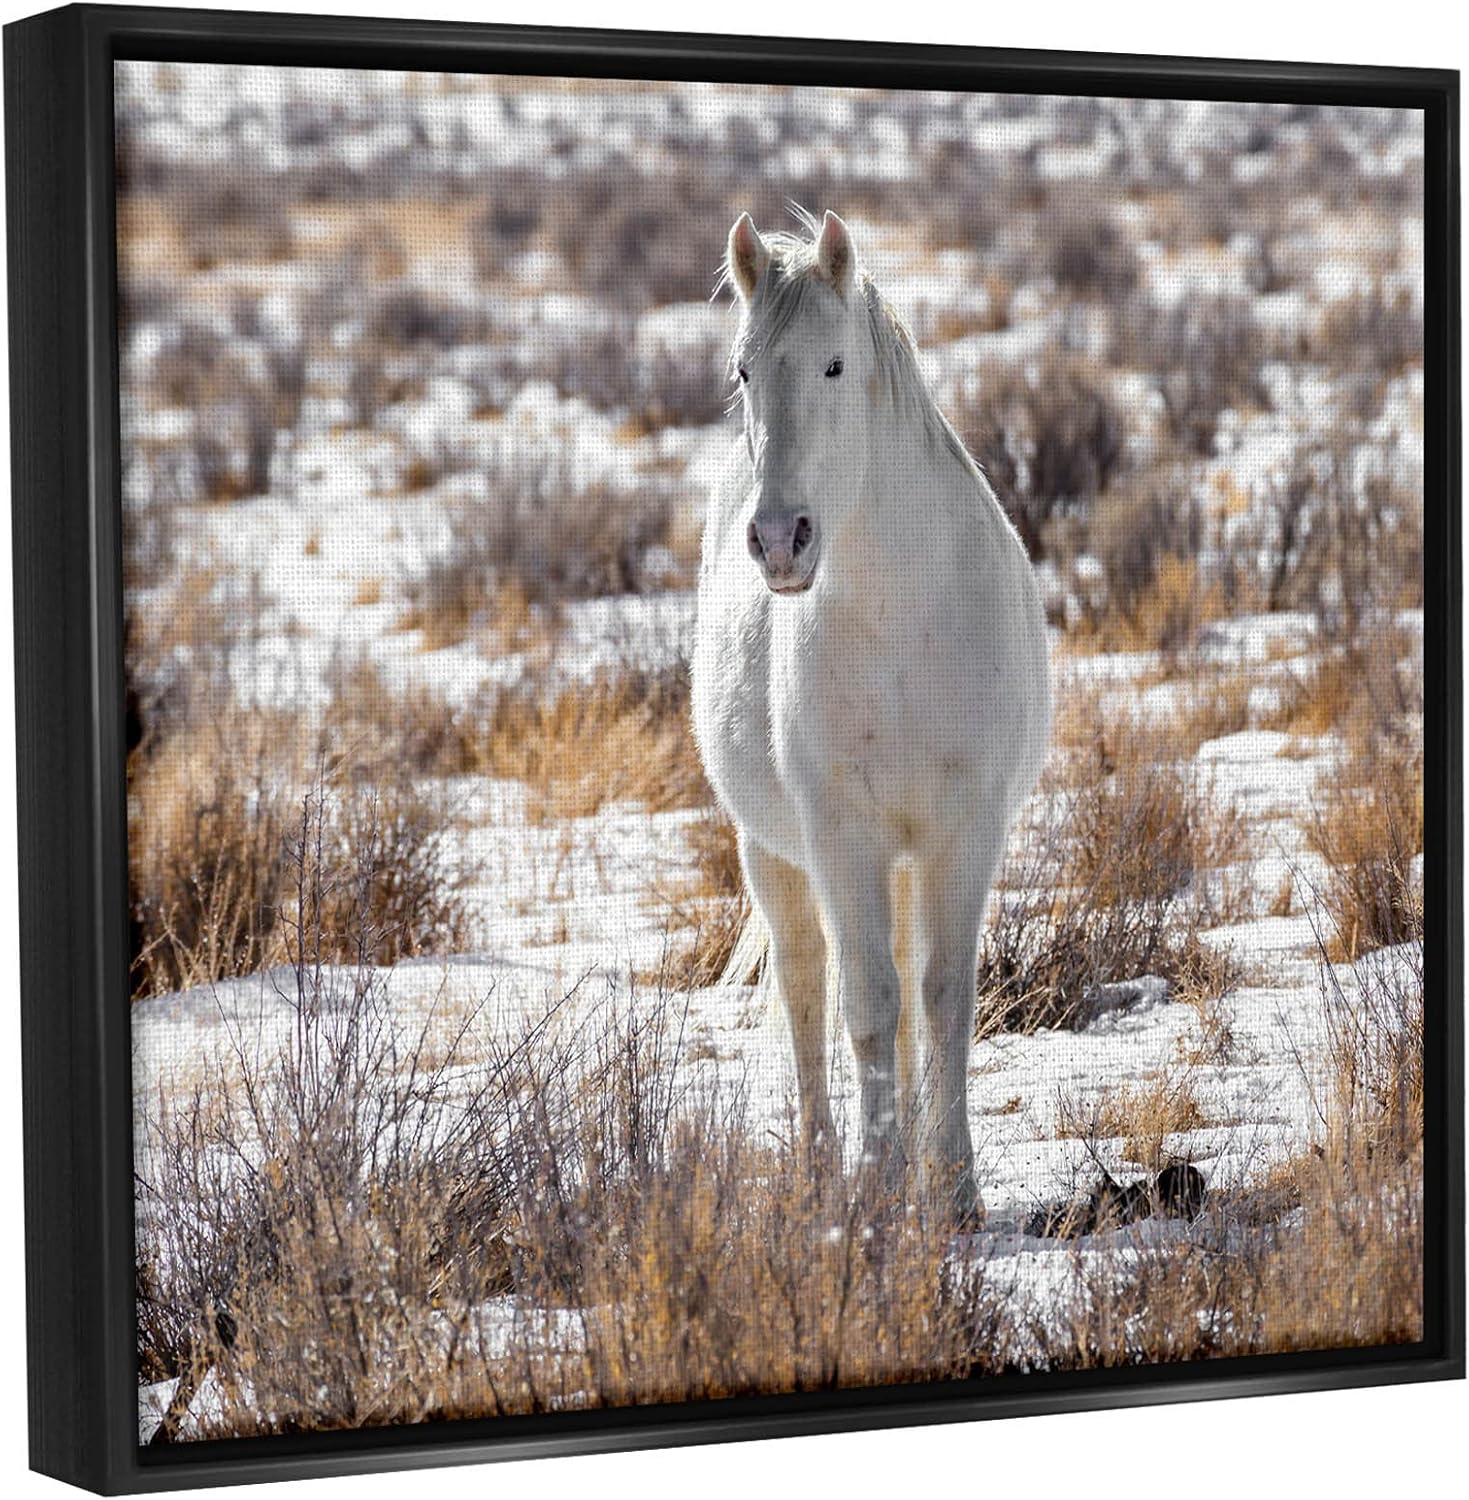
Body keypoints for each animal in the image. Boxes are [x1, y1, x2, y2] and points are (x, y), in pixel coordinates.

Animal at [691, 209, 1051, 1227]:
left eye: (834, 365)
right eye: (743, 370)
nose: (780, 540)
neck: (901, 619)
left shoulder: (963, 830)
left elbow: (941, 996)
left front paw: (954, 1187)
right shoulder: (840, 836)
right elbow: (864, 1005)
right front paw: (877, 1185)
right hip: (772, 853)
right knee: (808, 991)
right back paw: (823, 1166)